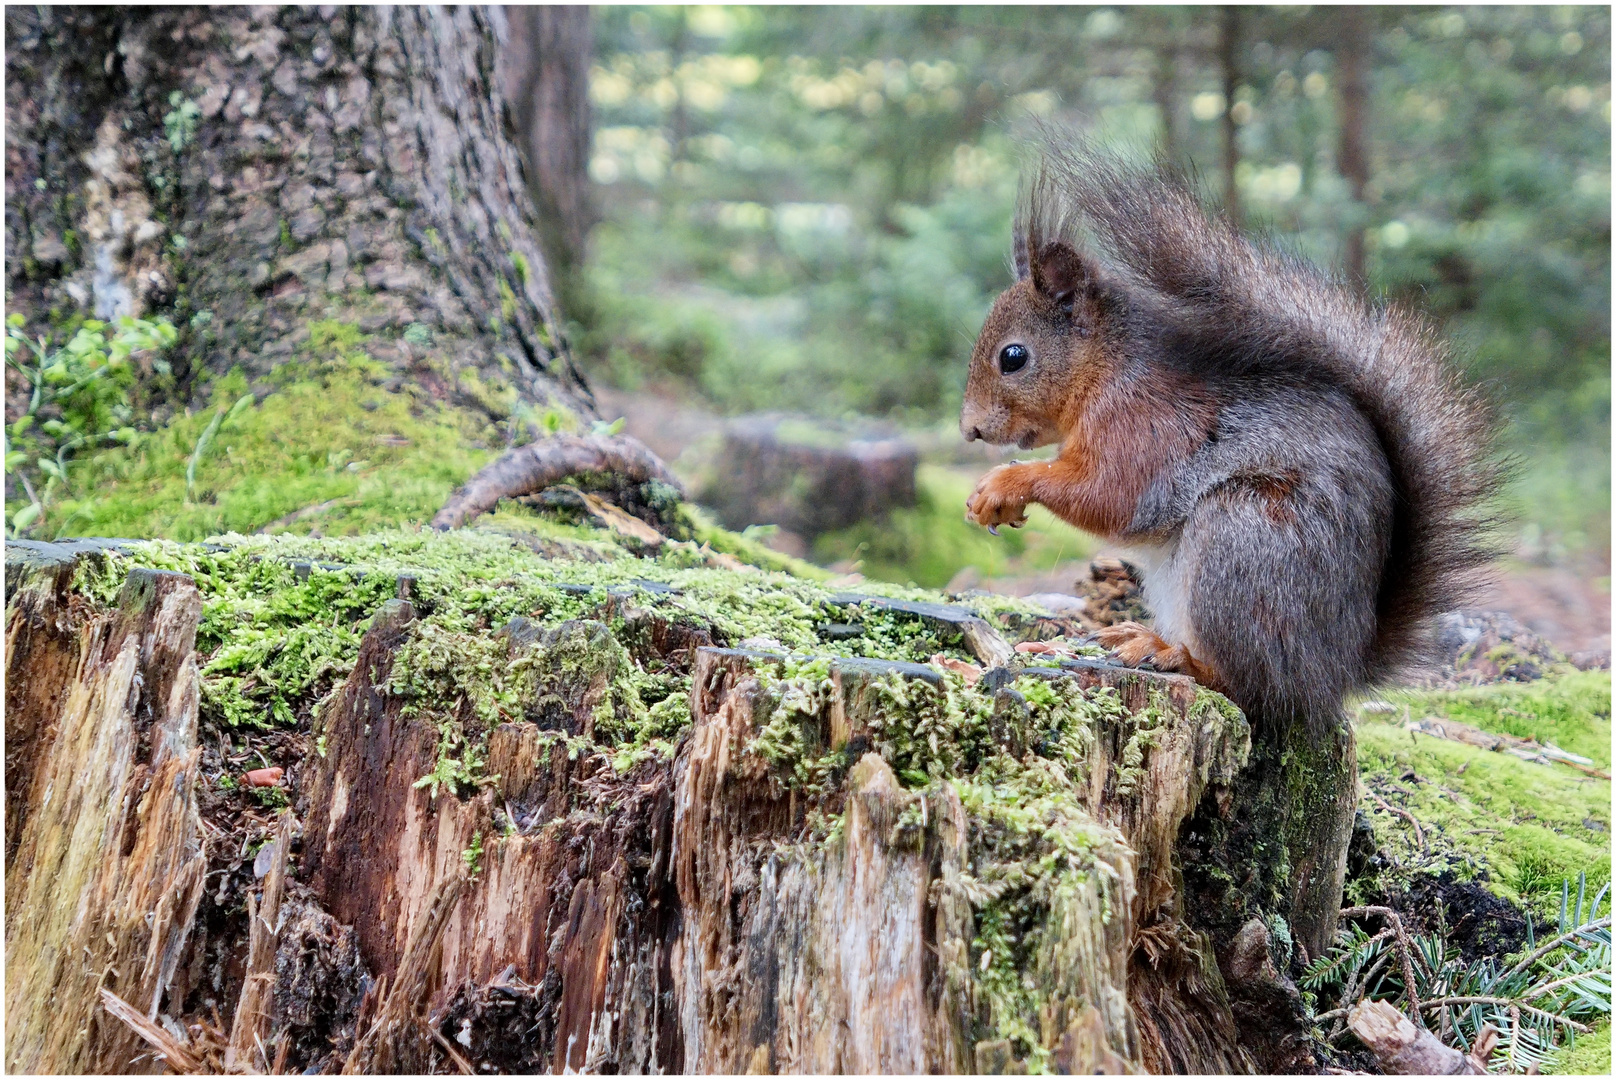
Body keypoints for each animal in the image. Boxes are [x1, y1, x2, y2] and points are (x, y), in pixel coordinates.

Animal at [956, 143, 1499, 734]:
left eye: (1013, 357)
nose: (969, 429)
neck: (1105, 367)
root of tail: (1338, 670)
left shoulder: (1143, 424)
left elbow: (1112, 496)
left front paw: (1004, 485)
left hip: (1242, 542)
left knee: (1252, 685)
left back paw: (1172, 655)